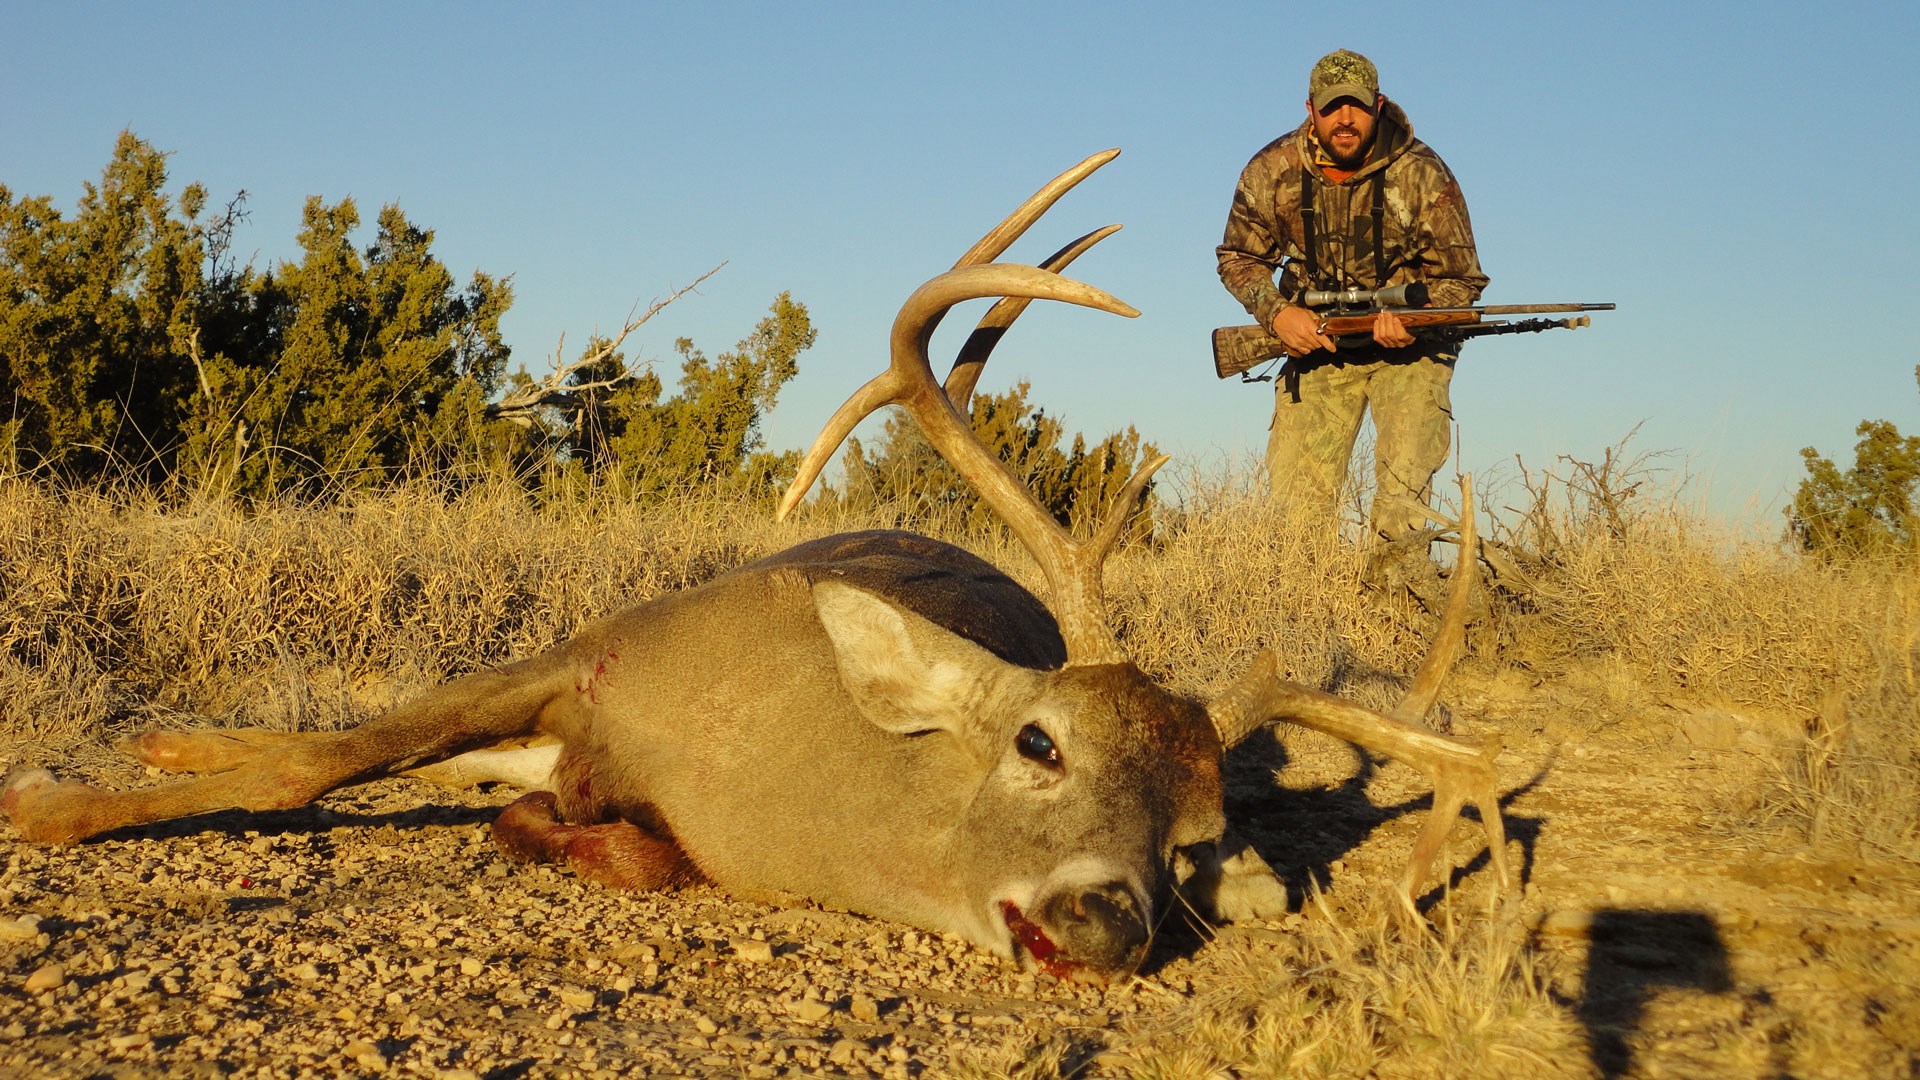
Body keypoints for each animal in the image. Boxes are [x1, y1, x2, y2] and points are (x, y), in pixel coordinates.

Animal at [0, 151, 1505, 983]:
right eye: (1040, 741)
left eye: (1192, 846)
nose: (1107, 919)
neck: (751, 745)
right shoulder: (593, 655)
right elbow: (318, 764)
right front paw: (46, 807)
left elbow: (594, 837)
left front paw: (562, 827)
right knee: (373, 736)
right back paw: (169, 744)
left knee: (452, 766)